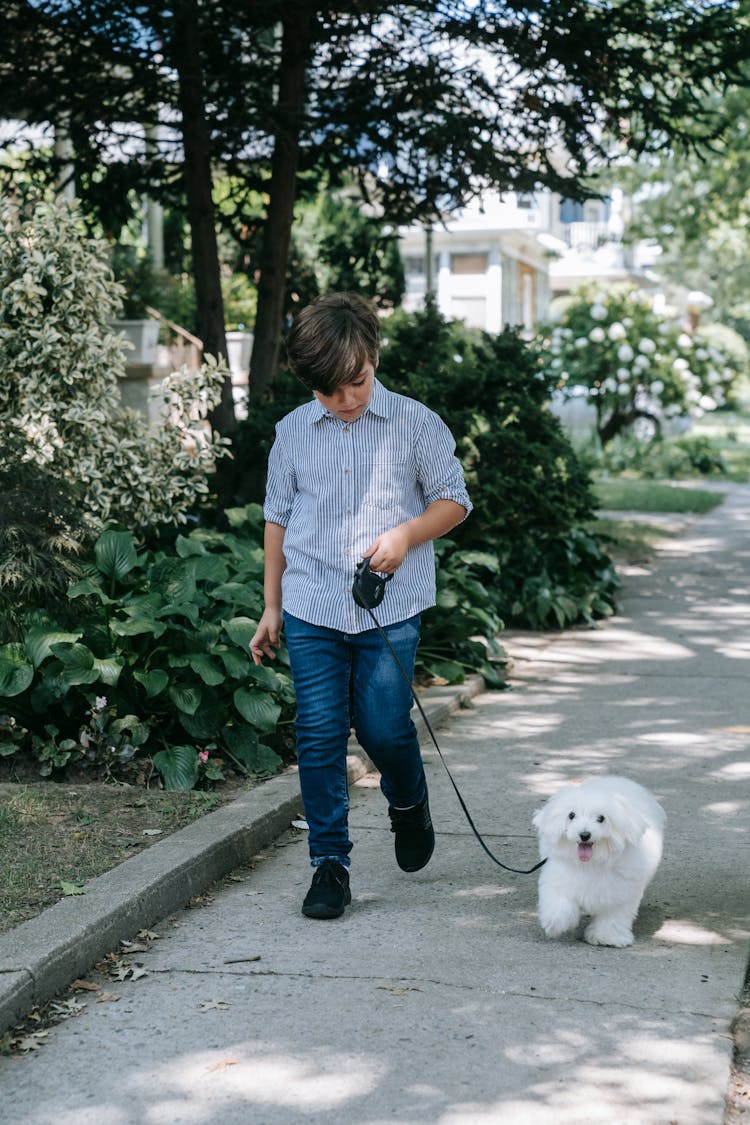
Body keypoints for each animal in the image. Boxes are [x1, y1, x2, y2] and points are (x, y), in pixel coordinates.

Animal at [530, 774, 665, 949]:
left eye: (601, 818)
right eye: (571, 815)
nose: (584, 834)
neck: (590, 863)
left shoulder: (620, 890)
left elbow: (613, 915)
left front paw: (606, 936)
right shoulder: (558, 875)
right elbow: (558, 900)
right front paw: (556, 922)